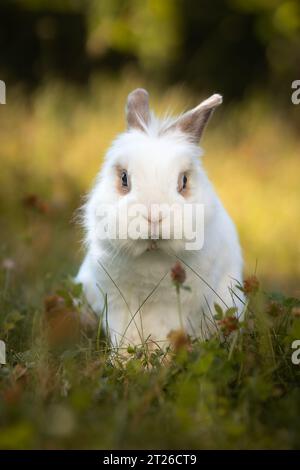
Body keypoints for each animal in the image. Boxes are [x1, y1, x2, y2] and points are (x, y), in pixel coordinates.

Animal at [77, 90, 244, 350]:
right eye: (124, 178)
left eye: (183, 181)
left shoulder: (176, 306)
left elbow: (166, 332)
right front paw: (125, 357)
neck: (152, 254)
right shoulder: (117, 302)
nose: (154, 216)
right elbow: (124, 334)